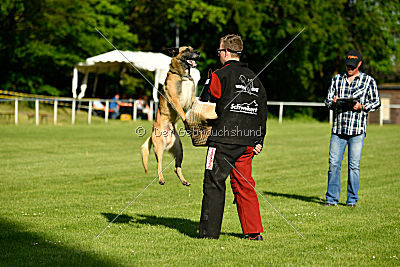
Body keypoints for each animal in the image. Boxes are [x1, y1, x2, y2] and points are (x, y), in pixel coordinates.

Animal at [142, 46, 202, 186]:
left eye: (192, 48)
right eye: (186, 50)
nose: (198, 52)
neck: (182, 75)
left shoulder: (192, 99)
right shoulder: (175, 100)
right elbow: (182, 112)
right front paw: (187, 122)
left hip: (179, 150)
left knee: (176, 167)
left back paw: (184, 181)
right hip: (159, 148)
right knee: (158, 165)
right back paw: (161, 179)